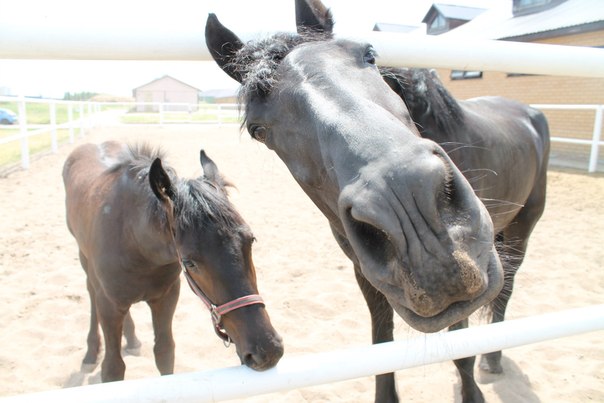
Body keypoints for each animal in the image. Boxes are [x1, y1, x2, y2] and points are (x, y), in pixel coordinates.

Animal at [62, 142, 284, 382]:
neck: (134, 241)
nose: (267, 350)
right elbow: (113, 367)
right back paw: (91, 353)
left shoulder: (166, 297)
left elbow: (164, 352)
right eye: (189, 262)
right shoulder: (109, 304)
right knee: (91, 291)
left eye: (251, 240)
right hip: (85, 260)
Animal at [206, 0, 548, 400]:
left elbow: (461, 349)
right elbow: (381, 345)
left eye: (368, 54)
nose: (412, 217)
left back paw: (492, 359)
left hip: (522, 229)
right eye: (258, 130)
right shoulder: (367, 274)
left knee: (506, 291)